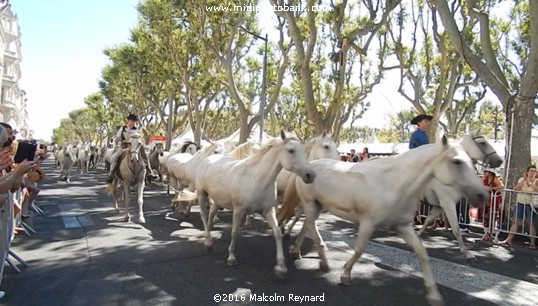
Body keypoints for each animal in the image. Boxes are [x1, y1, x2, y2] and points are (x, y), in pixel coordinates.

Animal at [178, 130, 316, 278]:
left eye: (304, 150)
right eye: (291, 150)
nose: (310, 175)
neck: (257, 179)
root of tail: (208, 159)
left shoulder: (268, 211)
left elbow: (277, 232)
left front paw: (280, 267)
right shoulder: (239, 211)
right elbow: (234, 232)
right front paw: (231, 257)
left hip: (218, 200)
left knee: (211, 214)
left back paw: (208, 236)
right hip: (201, 193)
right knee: (204, 215)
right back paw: (208, 241)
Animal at [280, 137, 486, 306]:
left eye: (471, 161)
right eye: (457, 161)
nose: (483, 195)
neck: (394, 183)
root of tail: (308, 167)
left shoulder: (403, 226)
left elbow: (422, 253)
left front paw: (433, 295)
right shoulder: (368, 222)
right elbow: (359, 249)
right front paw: (345, 274)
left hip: (318, 206)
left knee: (307, 224)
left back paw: (297, 250)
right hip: (310, 204)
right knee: (310, 225)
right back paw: (321, 261)